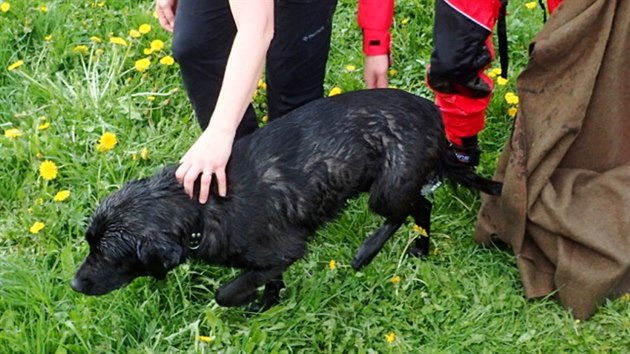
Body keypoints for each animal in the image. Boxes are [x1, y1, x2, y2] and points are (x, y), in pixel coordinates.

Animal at [70, 88, 504, 310]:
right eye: (89, 244)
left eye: (108, 255)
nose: (74, 284)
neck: (201, 209)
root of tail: (437, 117)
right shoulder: (269, 259)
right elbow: (267, 280)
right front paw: (267, 302)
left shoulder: (285, 249)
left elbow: (225, 293)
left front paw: (246, 299)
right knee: (423, 205)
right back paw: (420, 248)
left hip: (387, 189)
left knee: (407, 210)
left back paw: (365, 253)